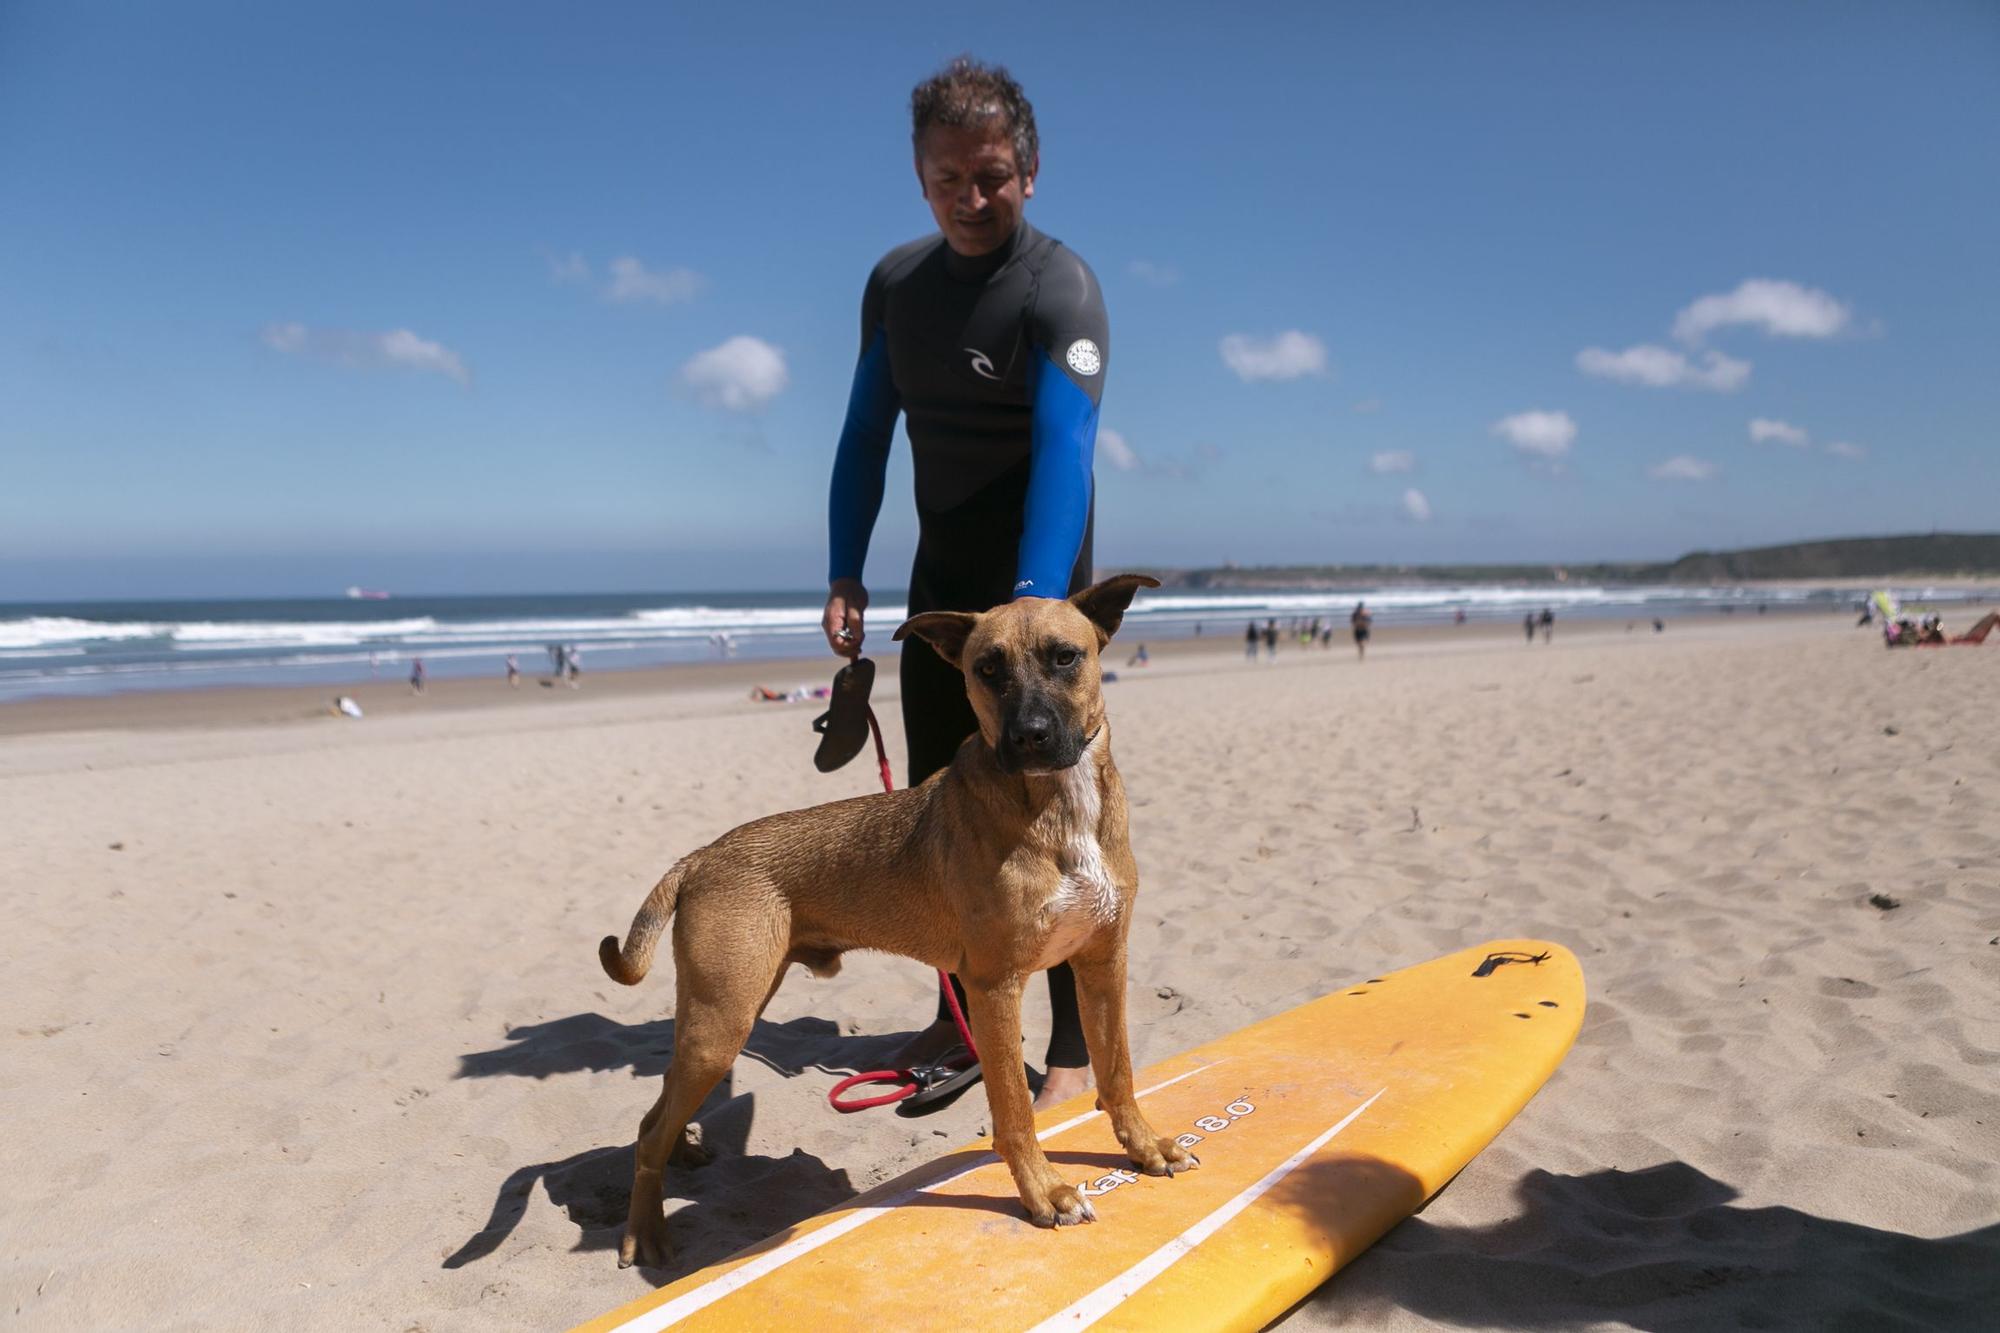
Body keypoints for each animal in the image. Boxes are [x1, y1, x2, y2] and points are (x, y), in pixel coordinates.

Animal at [592, 572, 1184, 1264]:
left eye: (1066, 657)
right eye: (987, 669)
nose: (1029, 736)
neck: (1056, 806)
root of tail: (699, 858)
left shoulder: (1101, 963)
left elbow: (1117, 1072)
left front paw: (1143, 1147)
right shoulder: (994, 987)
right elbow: (1015, 1111)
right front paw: (1042, 1192)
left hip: (724, 1014)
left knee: (656, 1112)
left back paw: (681, 1159)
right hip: (722, 1020)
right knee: (648, 1128)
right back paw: (645, 1231)